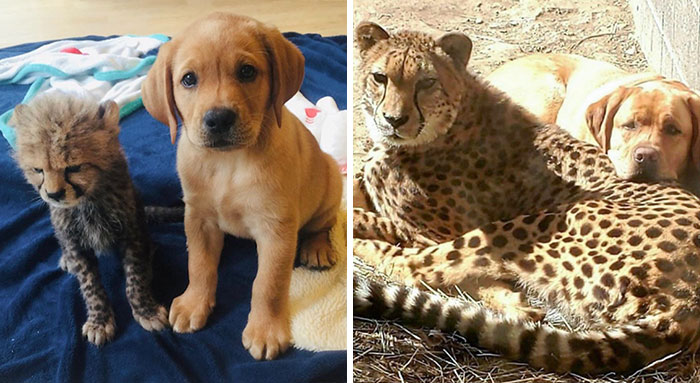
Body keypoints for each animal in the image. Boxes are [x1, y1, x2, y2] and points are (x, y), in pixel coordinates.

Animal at [142, 12, 342, 360]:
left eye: (247, 71)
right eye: (189, 79)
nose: (219, 119)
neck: (228, 164)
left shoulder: (277, 230)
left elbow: (268, 284)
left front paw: (265, 330)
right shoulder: (198, 218)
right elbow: (199, 265)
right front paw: (194, 303)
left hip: (331, 180)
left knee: (321, 224)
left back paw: (317, 248)